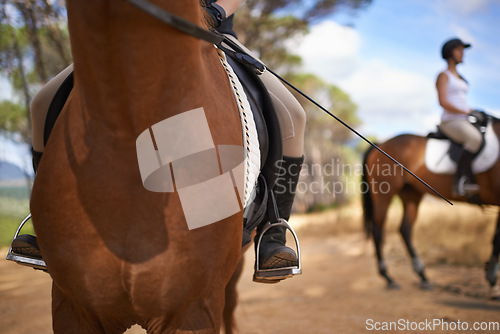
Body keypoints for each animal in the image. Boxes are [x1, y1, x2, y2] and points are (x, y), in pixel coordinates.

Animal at [362, 118, 500, 294]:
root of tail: (380, 144)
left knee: (405, 229)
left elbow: (497, 236)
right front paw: (491, 278)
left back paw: (423, 277)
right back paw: (388, 278)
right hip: (383, 195)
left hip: (411, 195)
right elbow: (498, 237)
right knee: (378, 231)